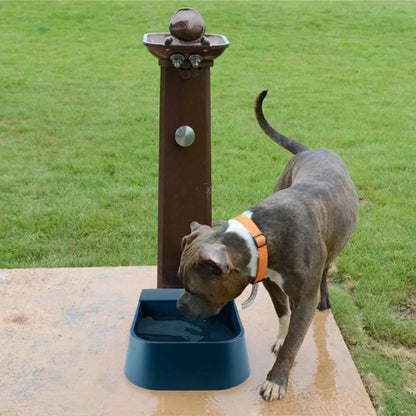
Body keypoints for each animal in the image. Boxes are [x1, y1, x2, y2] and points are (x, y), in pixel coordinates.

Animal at [176, 90, 358, 400]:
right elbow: (283, 312)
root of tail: (312, 150)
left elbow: (294, 341)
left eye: (192, 289)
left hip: (334, 245)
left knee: (325, 270)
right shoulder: (270, 281)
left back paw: (325, 298)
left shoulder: (304, 299)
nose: (178, 306)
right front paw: (282, 336)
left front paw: (276, 379)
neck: (257, 238)